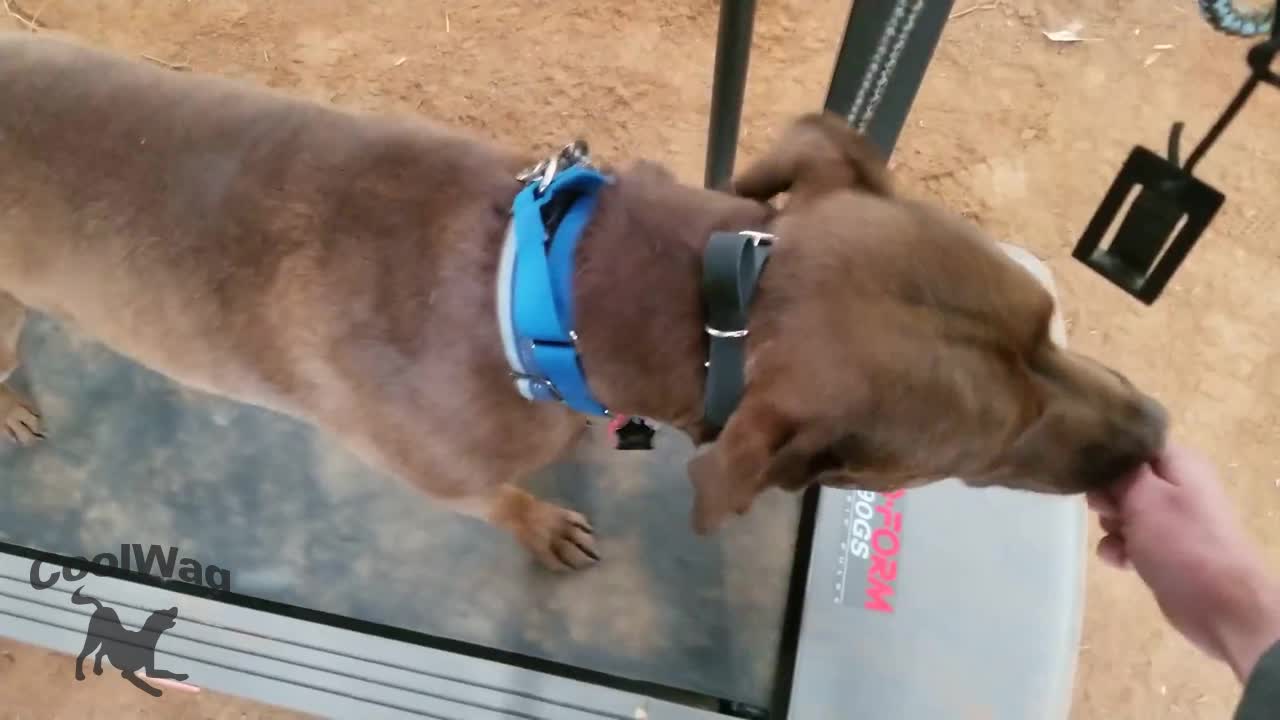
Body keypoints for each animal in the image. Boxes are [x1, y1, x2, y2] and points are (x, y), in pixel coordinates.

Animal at [0, 33, 1172, 568]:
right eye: (984, 450)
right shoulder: (446, 479)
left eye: (1048, 322)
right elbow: (500, 502)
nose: (1157, 428)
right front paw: (540, 523)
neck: (552, 296)